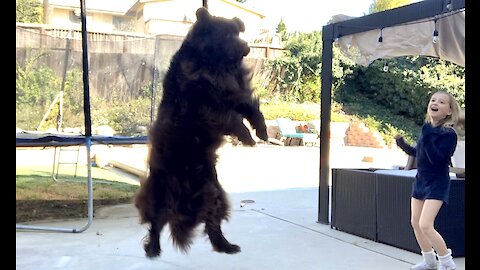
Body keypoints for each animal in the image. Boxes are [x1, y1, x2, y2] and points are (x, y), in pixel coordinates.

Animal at [135, 7, 268, 258]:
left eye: (237, 33)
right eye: (226, 35)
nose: (246, 47)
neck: (216, 66)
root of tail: (186, 207)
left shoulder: (236, 92)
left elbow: (250, 108)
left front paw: (262, 132)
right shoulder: (203, 104)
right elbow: (232, 118)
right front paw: (247, 136)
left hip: (214, 194)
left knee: (212, 225)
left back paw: (227, 246)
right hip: (160, 192)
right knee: (156, 222)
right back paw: (153, 249)